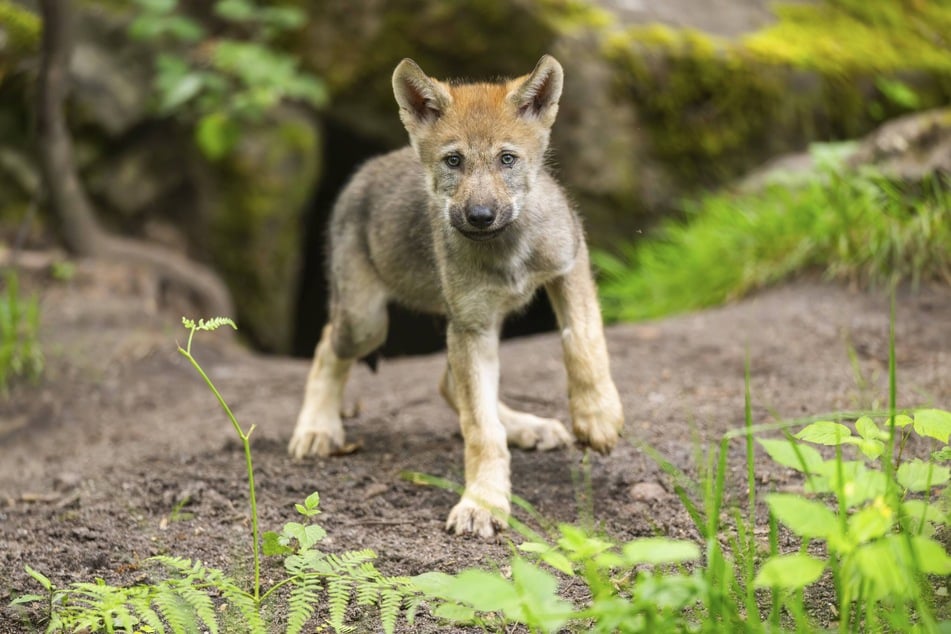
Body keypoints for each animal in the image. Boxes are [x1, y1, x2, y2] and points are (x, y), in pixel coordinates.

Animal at [289, 55, 624, 537]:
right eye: (454, 160)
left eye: (507, 159)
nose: (480, 215)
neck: (507, 251)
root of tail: (362, 173)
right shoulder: (470, 325)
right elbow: (480, 429)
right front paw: (482, 502)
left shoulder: (568, 265)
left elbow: (583, 341)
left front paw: (597, 417)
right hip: (367, 322)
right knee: (326, 347)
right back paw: (317, 428)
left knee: (450, 384)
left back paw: (528, 427)